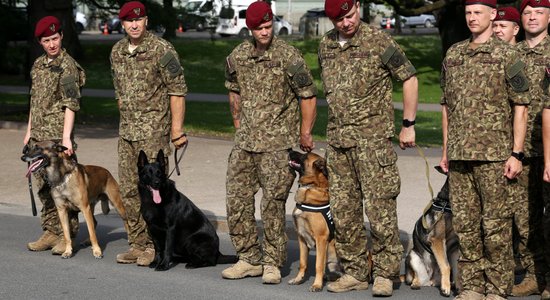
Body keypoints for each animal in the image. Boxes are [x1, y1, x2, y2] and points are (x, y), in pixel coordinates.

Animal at [286, 151, 342, 292]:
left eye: (304, 155)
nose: (289, 150)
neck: (311, 186)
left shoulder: (321, 238)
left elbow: (318, 265)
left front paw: (317, 284)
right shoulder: (301, 237)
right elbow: (302, 262)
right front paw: (298, 279)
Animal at [404, 166, 460, 298]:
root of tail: (430, 280)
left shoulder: (454, 248)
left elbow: (455, 268)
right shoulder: (437, 240)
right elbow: (446, 266)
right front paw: (446, 288)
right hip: (413, 256)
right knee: (414, 277)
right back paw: (416, 283)